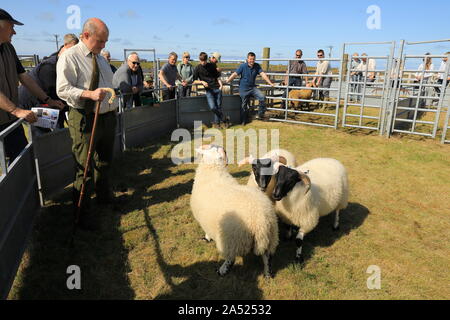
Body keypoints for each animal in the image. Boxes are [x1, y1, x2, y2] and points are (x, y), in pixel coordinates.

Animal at [189, 145, 278, 278]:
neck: (214, 171)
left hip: (232, 239)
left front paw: (206, 238)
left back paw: (222, 270)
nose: (223, 148)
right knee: (267, 257)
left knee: (231, 258)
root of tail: (260, 220)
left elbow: (207, 231)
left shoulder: (205, 219)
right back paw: (267, 274)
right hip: (270, 237)